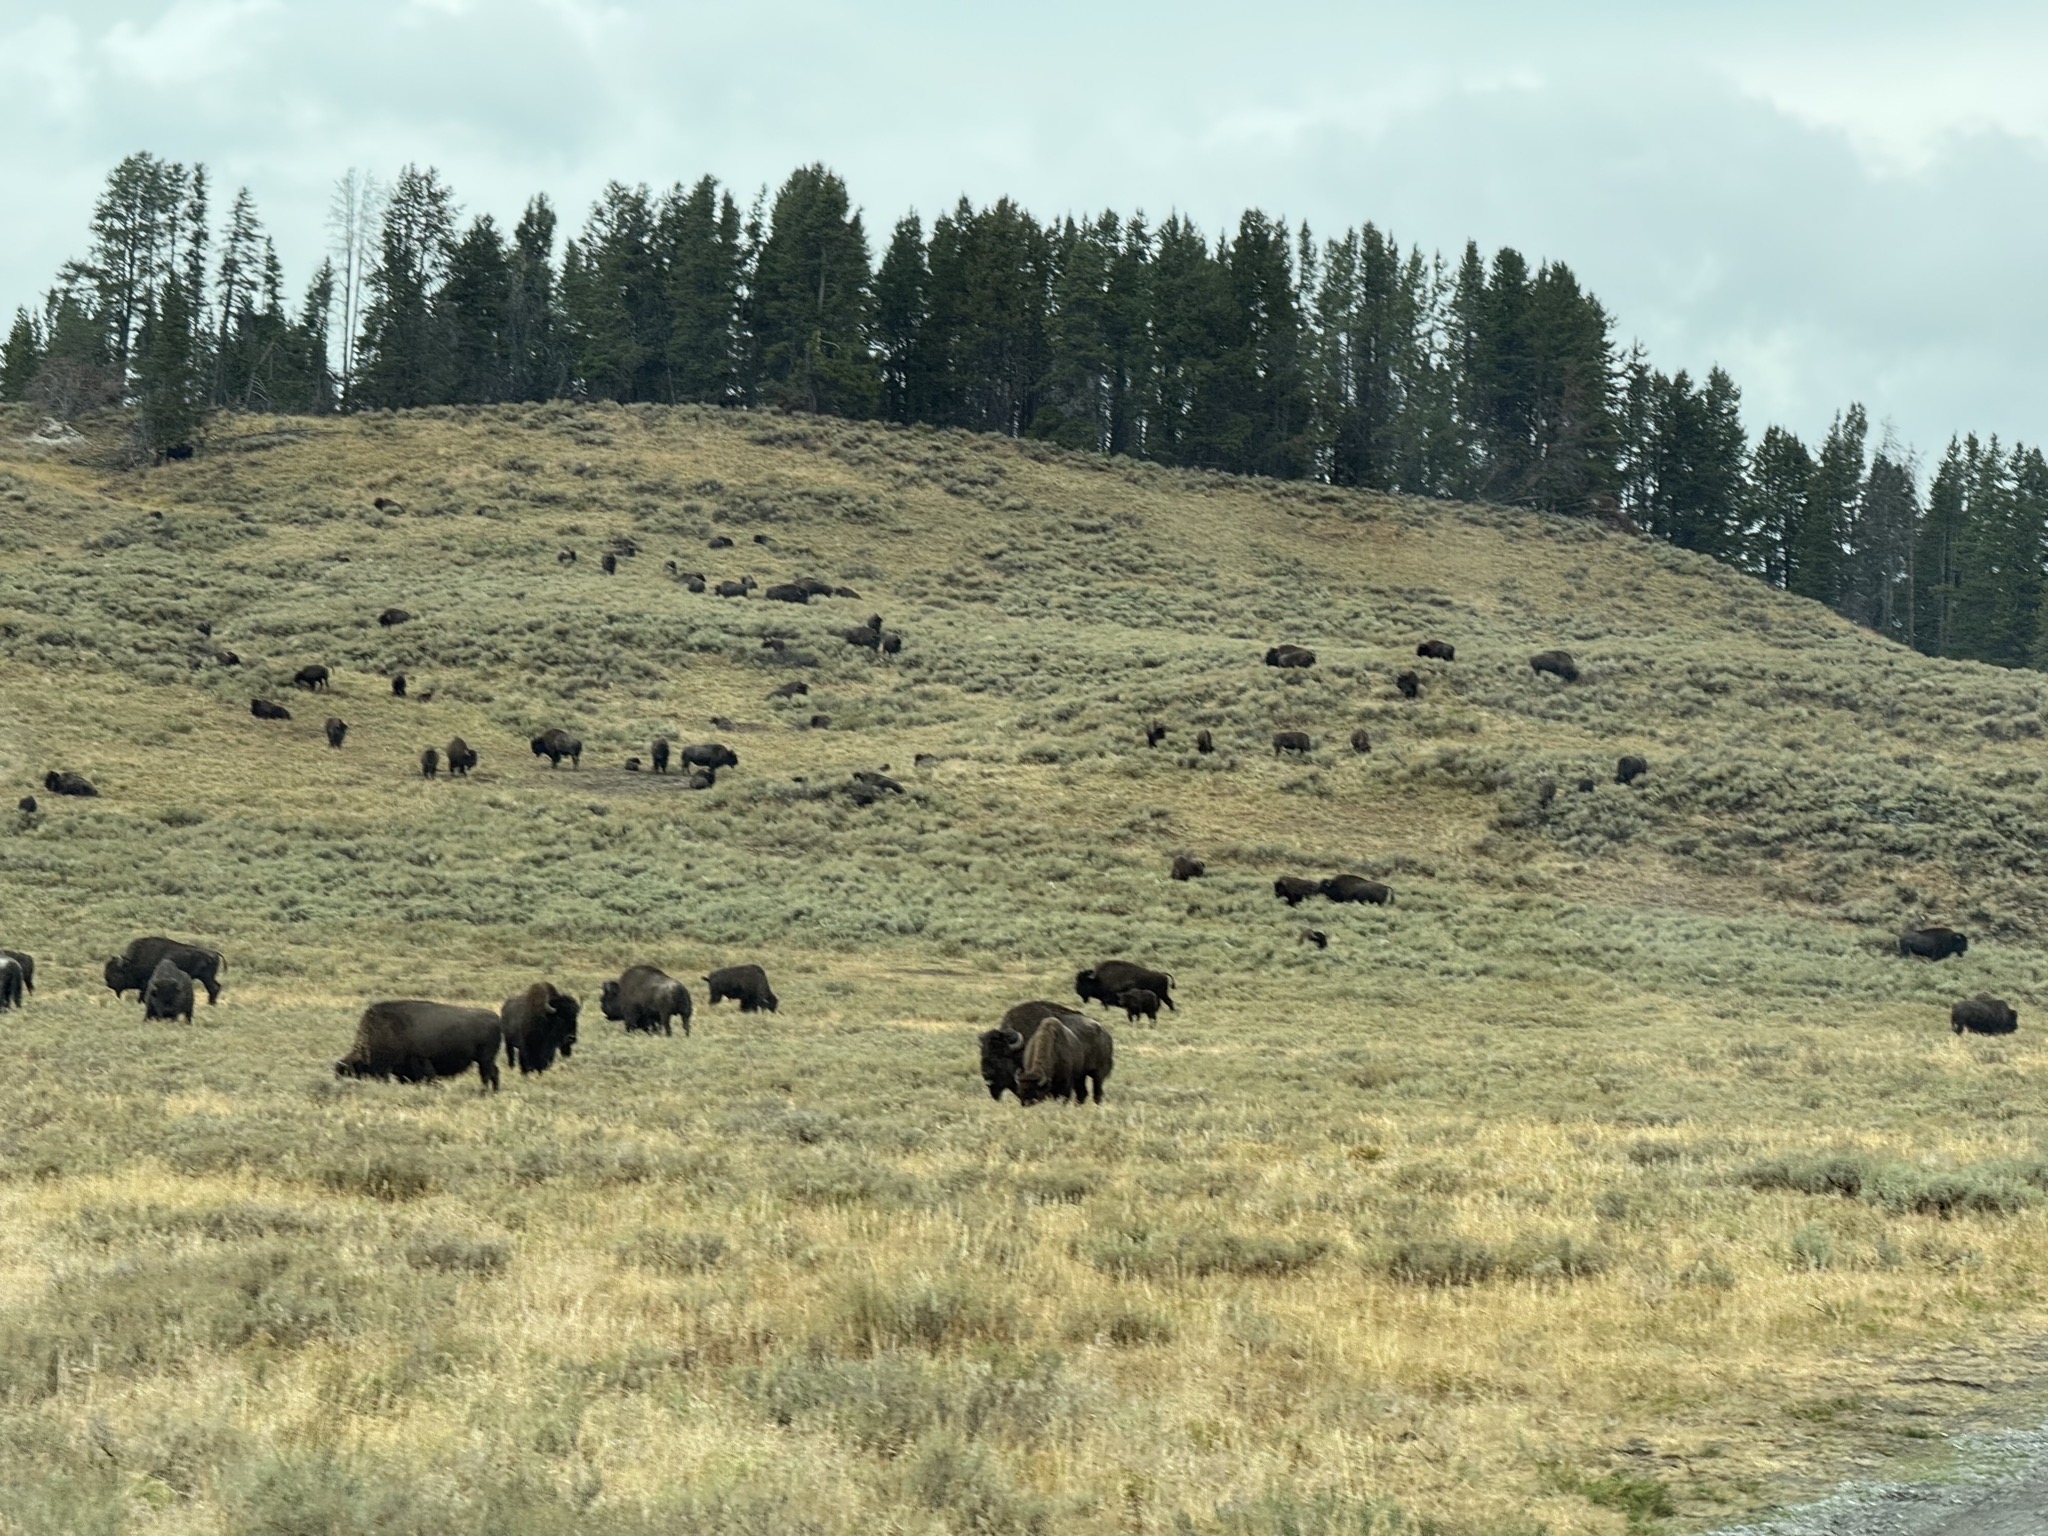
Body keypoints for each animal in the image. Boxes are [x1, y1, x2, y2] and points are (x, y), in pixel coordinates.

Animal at [335, 1000, 503, 1091]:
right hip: (484, 1059)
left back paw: (487, 1092)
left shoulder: (420, 1061)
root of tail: (496, 1018)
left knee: (489, 1074)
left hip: (485, 1059)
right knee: (491, 1073)